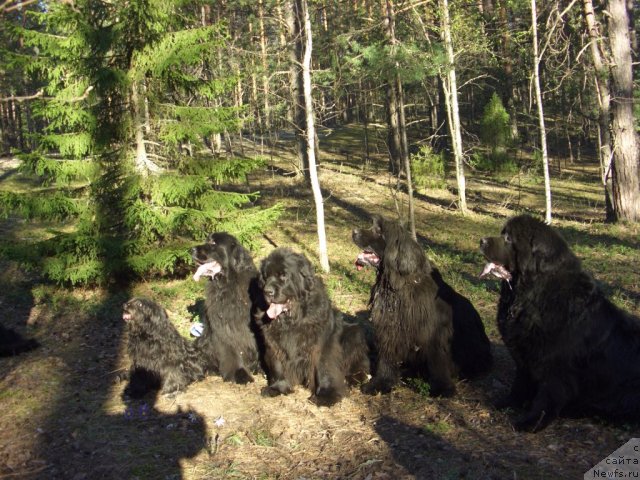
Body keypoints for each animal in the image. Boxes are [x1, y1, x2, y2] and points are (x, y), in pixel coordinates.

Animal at [190, 231, 262, 384]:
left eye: (213, 243)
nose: (191, 250)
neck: (229, 285)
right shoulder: (224, 327)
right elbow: (232, 351)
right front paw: (239, 374)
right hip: (203, 341)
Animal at [256, 248, 368, 404]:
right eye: (266, 277)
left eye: (283, 275)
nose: (267, 292)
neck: (293, 319)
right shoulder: (274, 344)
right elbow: (278, 365)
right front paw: (277, 388)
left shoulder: (321, 344)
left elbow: (323, 367)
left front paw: (326, 395)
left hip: (355, 333)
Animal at [352, 216, 492, 396]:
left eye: (379, 231)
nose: (353, 231)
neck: (400, 285)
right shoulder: (390, 329)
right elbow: (386, 359)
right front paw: (381, 383)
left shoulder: (435, 333)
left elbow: (438, 362)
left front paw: (442, 388)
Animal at [480, 214, 640, 432]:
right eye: (503, 234)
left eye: (509, 239)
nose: (481, 241)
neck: (531, 295)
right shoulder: (524, 357)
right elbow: (520, 383)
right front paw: (509, 403)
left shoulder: (555, 365)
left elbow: (547, 396)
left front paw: (532, 422)